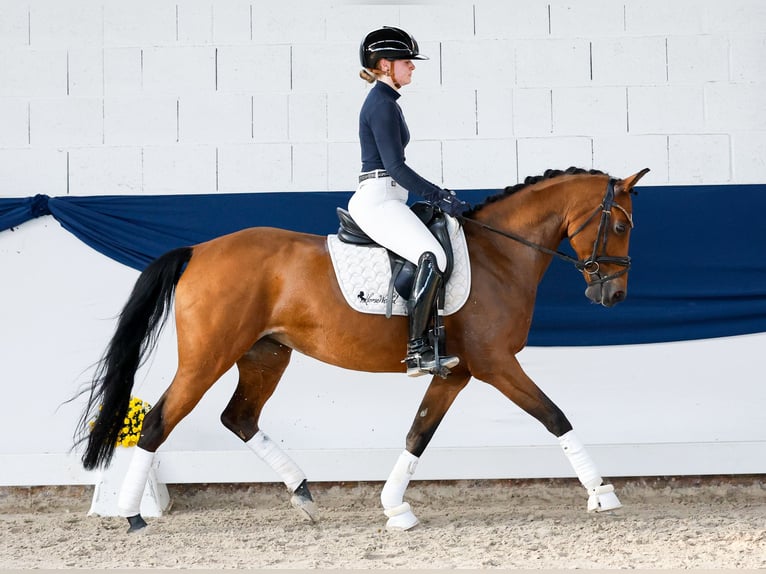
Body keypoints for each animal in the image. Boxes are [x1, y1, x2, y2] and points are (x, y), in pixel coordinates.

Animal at [76, 166, 650, 532]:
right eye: (621, 225)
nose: (614, 295)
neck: (498, 255)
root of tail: (198, 250)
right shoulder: (495, 364)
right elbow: (555, 416)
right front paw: (603, 493)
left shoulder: (456, 372)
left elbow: (418, 433)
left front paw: (396, 509)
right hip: (207, 357)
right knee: (158, 422)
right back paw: (132, 515)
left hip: (266, 355)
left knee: (238, 417)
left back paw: (303, 497)